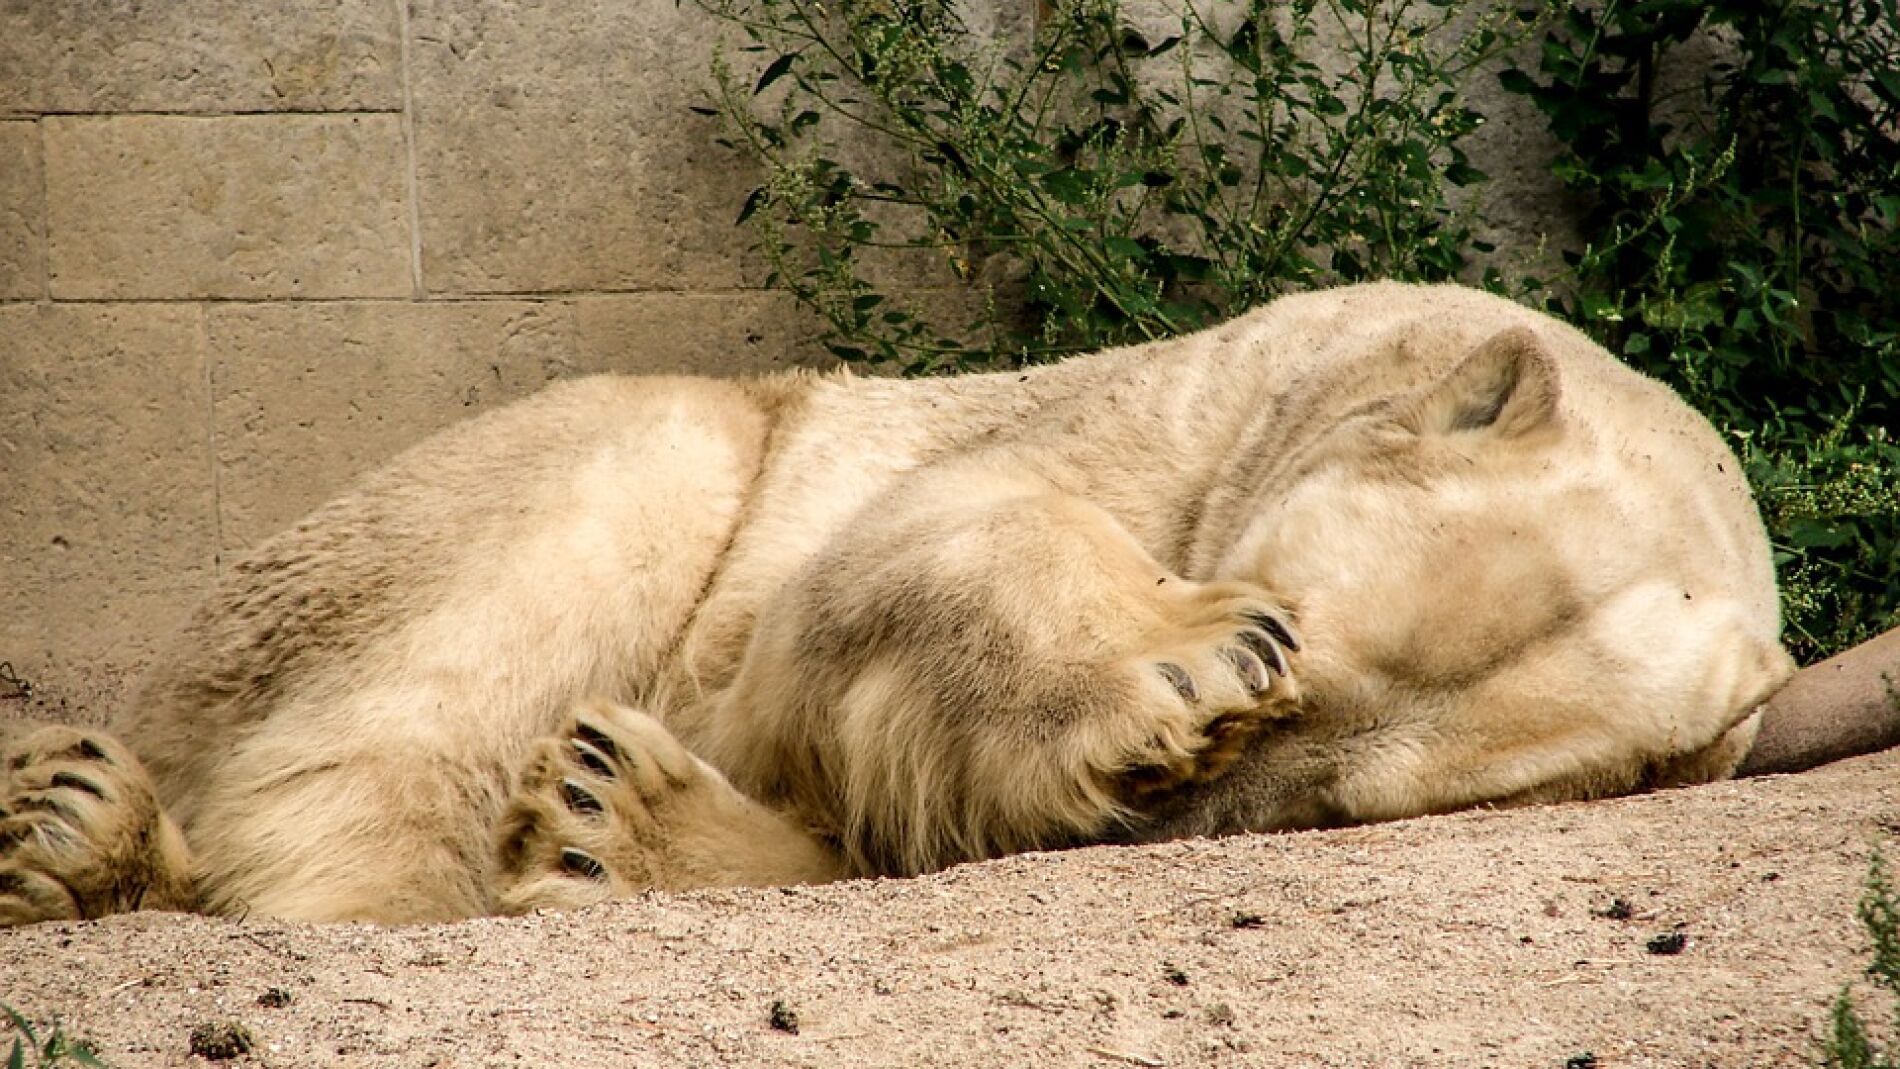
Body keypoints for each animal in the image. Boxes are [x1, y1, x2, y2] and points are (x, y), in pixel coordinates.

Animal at [0, 282, 1797, 925]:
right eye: (1293, 624)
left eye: (1335, 805)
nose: (1175, 803)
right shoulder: (1151, 412)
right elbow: (895, 554)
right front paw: (1170, 665)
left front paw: (613, 826)